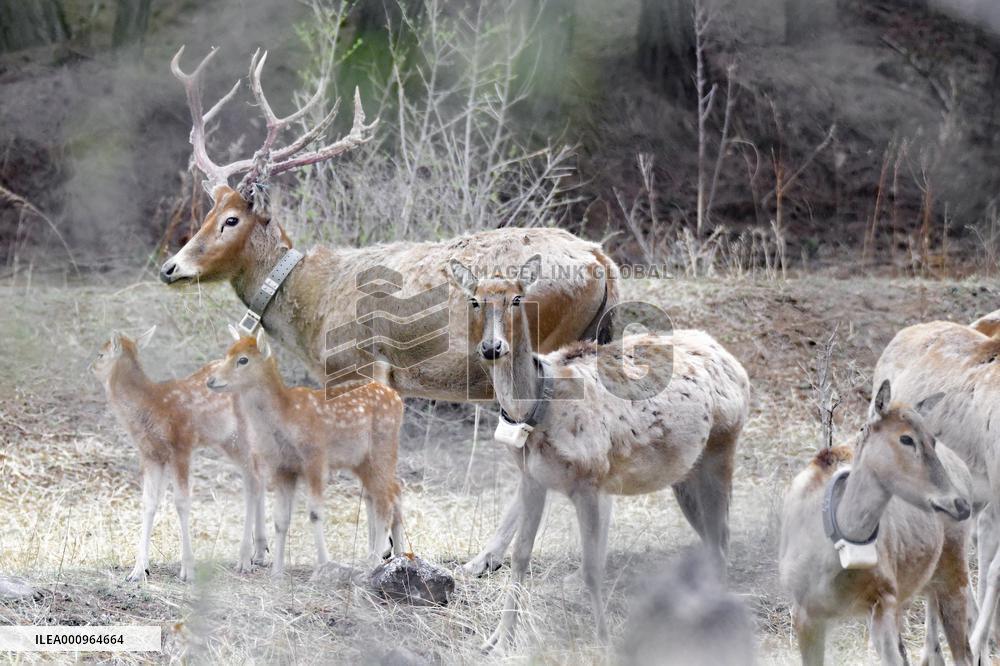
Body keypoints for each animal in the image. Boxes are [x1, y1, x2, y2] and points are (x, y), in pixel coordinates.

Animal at [91, 327, 266, 583]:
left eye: (101, 354)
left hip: (242, 434)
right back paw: (260, 552)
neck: (151, 407)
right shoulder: (151, 454)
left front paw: (188, 570)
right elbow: (149, 502)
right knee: (256, 475)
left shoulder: (181, 445)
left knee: (254, 479)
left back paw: (245, 558)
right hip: (226, 440)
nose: (90, 366)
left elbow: (182, 502)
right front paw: (138, 570)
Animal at [206, 327, 405, 578]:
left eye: (243, 360)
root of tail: (395, 396)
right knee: (394, 491)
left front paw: (322, 567)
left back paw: (372, 565)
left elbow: (315, 513)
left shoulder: (315, 457)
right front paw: (277, 572)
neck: (285, 416)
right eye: (227, 354)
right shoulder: (282, 468)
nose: (211, 380)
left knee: (385, 502)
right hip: (363, 461)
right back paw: (398, 557)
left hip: (381, 449)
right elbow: (280, 519)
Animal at [447, 254, 750, 650]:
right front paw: (498, 640)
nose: (492, 348)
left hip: (722, 445)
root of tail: (736, 364)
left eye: (516, 298)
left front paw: (604, 641)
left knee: (722, 535)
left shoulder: (590, 479)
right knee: (711, 539)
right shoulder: (532, 479)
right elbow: (520, 556)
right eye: (474, 300)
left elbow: (593, 567)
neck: (538, 408)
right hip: (685, 472)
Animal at [780, 380, 974, 666]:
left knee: (965, 654)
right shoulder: (803, 610)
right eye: (906, 438)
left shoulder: (884, 598)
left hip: (953, 572)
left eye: (932, 440)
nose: (959, 504)